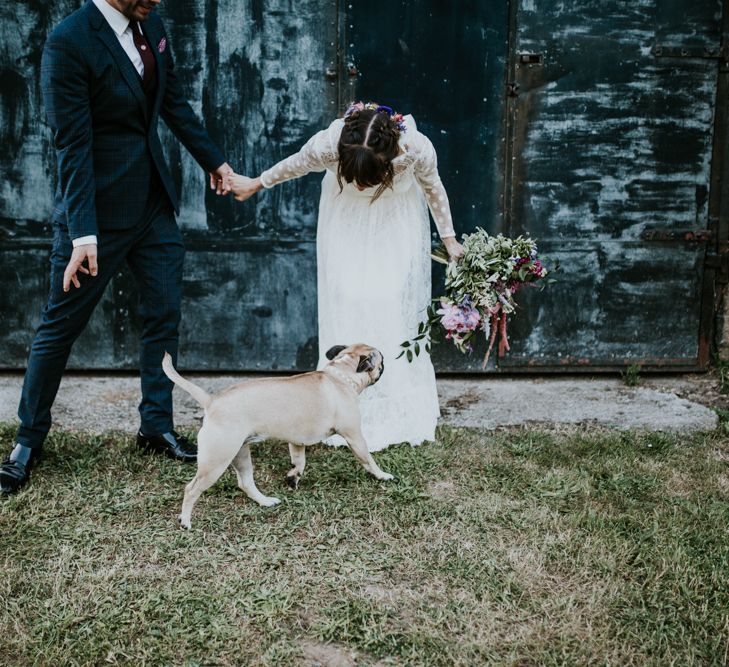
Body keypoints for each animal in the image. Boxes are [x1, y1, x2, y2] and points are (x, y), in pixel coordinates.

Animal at [163, 344, 396, 528]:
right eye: (381, 360)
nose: (385, 362)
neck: (340, 375)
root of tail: (211, 401)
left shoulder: (297, 441)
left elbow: (299, 462)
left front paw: (293, 477)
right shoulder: (355, 436)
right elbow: (368, 460)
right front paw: (382, 475)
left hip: (240, 454)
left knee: (246, 483)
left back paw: (265, 501)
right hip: (216, 461)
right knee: (191, 489)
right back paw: (185, 521)